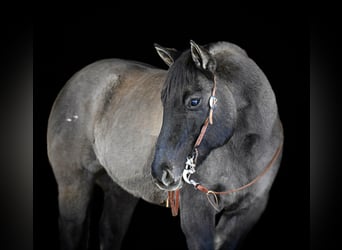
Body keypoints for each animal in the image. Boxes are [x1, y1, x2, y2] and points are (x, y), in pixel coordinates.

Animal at [47, 40, 284, 249]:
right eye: (163, 99)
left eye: (194, 101)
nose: (162, 171)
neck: (243, 149)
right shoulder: (197, 213)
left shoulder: (246, 213)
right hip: (73, 185)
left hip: (120, 191)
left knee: (109, 231)